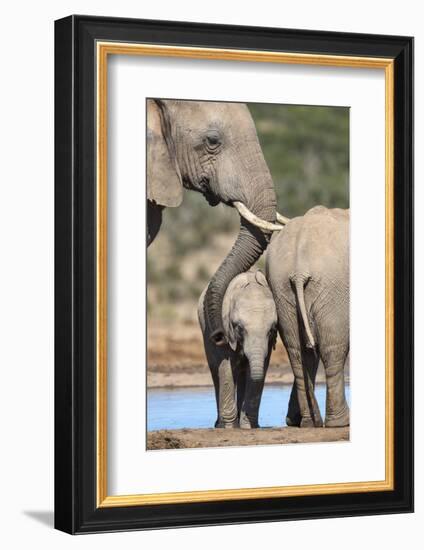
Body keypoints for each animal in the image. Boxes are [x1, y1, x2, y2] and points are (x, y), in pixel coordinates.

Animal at [197, 272, 276, 432]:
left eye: (271, 330)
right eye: (239, 328)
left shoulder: (268, 343)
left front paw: (249, 426)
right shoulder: (224, 328)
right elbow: (226, 367)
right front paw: (229, 427)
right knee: (216, 373)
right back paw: (220, 425)